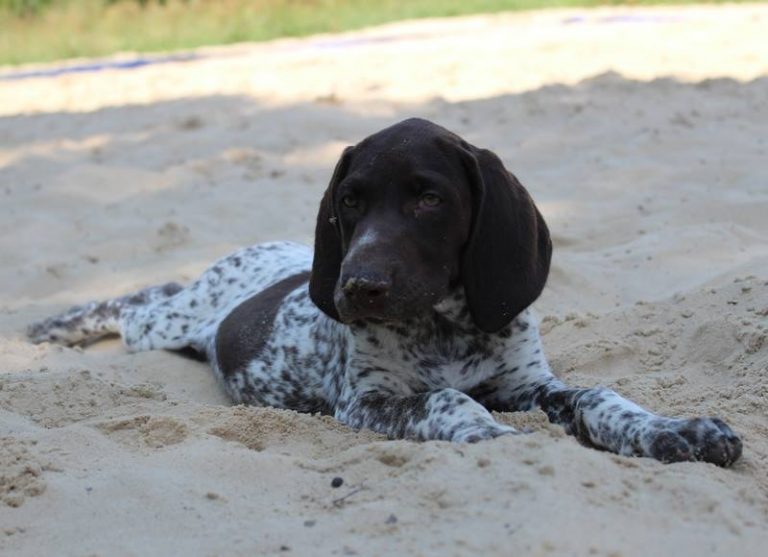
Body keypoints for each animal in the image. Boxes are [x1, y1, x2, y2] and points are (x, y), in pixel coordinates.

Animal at [30, 116, 744, 464]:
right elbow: (449, 401)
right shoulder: (366, 402)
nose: (357, 286)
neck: (445, 325)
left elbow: (599, 394)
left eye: (430, 199)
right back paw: (55, 326)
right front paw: (495, 440)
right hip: (169, 323)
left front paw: (672, 431)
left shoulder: (525, 383)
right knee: (133, 307)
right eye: (349, 201)